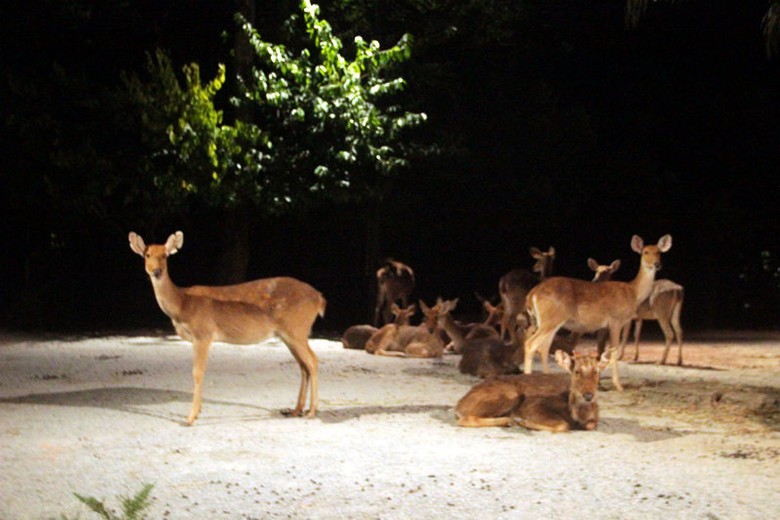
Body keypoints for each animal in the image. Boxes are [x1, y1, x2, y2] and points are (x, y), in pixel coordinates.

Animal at [129, 233, 324, 426]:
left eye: (165, 255)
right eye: (147, 254)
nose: (156, 271)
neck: (183, 304)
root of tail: (320, 299)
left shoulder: (203, 333)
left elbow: (197, 372)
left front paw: (191, 418)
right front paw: (197, 412)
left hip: (297, 329)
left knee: (313, 361)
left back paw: (311, 412)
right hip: (289, 334)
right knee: (303, 365)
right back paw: (296, 410)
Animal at [454, 352, 612, 432]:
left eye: (596, 372)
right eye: (576, 372)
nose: (588, 395)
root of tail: (459, 405)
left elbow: (590, 425)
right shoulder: (535, 405)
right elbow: (563, 425)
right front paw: (525, 422)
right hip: (511, 394)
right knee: (465, 419)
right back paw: (511, 420)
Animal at [520, 236, 672, 390]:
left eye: (659, 252)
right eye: (645, 252)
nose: (657, 264)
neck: (633, 292)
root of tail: (532, 295)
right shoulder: (616, 321)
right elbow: (613, 352)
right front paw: (619, 386)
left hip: (550, 321)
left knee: (543, 347)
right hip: (550, 320)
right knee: (531, 344)